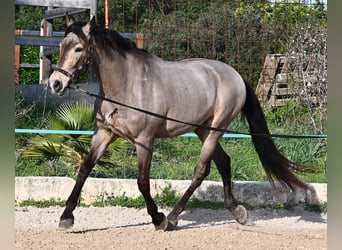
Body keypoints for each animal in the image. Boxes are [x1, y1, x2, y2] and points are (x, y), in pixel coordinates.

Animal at [48, 15, 308, 230]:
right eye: (61, 46)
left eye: (79, 48)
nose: (55, 84)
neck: (128, 85)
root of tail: (235, 75)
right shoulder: (103, 134)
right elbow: (84, 169)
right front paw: (66, 218)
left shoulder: (144, 141)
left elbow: (142, 182)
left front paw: (158, 219)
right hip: (203, 129)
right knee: (224, 162)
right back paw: (237, 212)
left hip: (216, 130)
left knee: (201, 171)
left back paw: (173, 217)